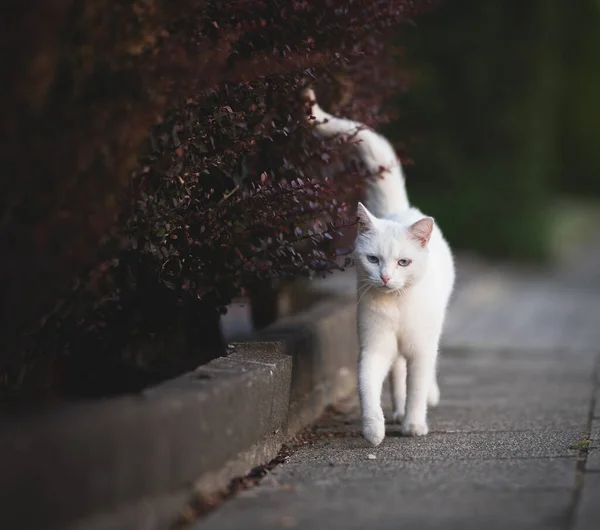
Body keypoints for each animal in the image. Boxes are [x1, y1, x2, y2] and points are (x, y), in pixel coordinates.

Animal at [304, 86, 454, 442]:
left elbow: (418, 385)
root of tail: (399, 210)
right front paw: (374, 429)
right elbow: (368, 387)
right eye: (373, 259)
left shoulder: (420, 349)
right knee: (397, 373)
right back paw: (396, 411)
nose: (385, 277)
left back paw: (422, 403)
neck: (396, 304)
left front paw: (414, 425)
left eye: (403, 262)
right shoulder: (374, 348)